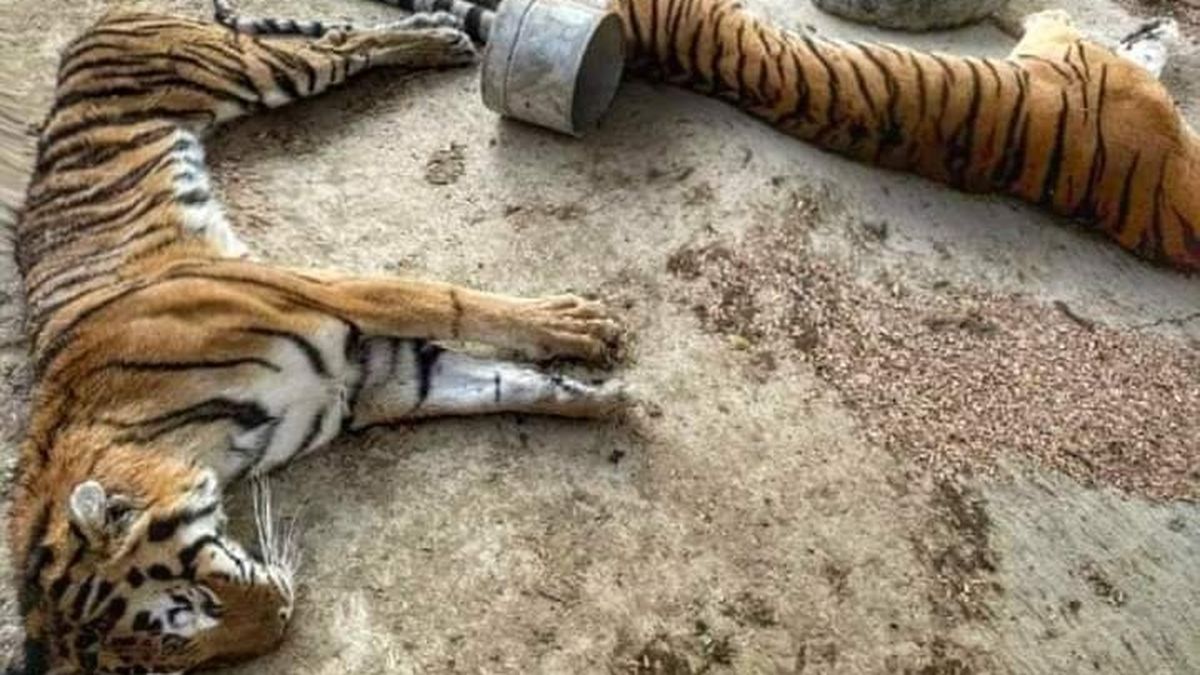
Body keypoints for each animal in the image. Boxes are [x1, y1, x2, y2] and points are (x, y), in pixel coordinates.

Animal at [4, 3, 628, 673]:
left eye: (191, 604)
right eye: (178, 659)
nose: (280, 618)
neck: (191, 444)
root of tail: (95, 26)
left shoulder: (320, 291)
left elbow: (449, 303)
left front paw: (577, 326)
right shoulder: (372, 383)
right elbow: (494, 385)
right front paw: (600, 397)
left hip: (250, 70)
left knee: (340, 45)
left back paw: (440, 38)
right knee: (335, 36)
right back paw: (438, 31)